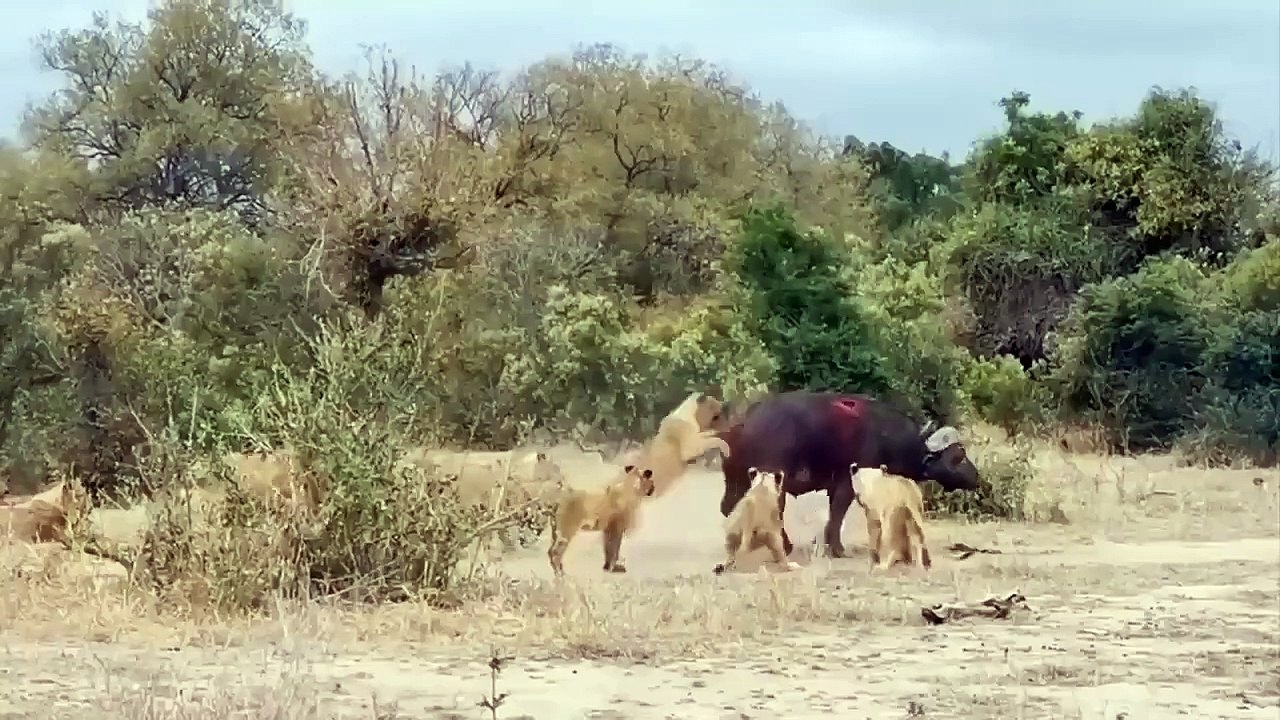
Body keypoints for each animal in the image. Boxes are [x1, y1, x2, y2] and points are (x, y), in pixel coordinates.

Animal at [718, 390, 980, 558]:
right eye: (957, 456)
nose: (976, 476)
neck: (884, 435)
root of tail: (744, 424)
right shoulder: (847, 484)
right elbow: (837, 514)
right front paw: (837, 549)